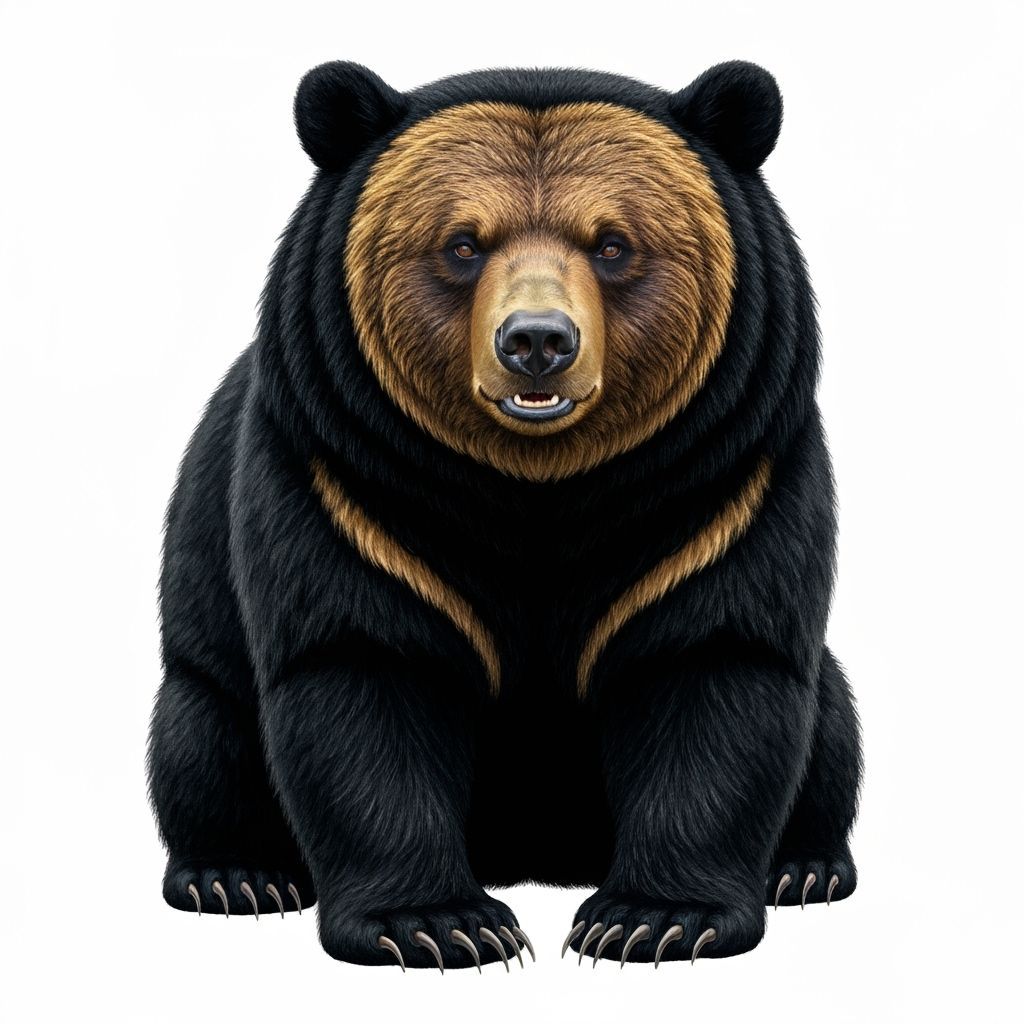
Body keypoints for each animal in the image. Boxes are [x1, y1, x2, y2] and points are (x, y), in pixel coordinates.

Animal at [147, 59, 862, 971]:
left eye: (612, 244)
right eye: (462, 244)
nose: (537, 342)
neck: (536, 481)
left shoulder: (719, 499)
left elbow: (715, 663)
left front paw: (653, 919)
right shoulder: (351, 497)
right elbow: (361, 669)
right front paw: (437, 924)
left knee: (832, 723)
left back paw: (805, 868)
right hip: (207, 658)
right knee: (202, 737)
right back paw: (237, 877)